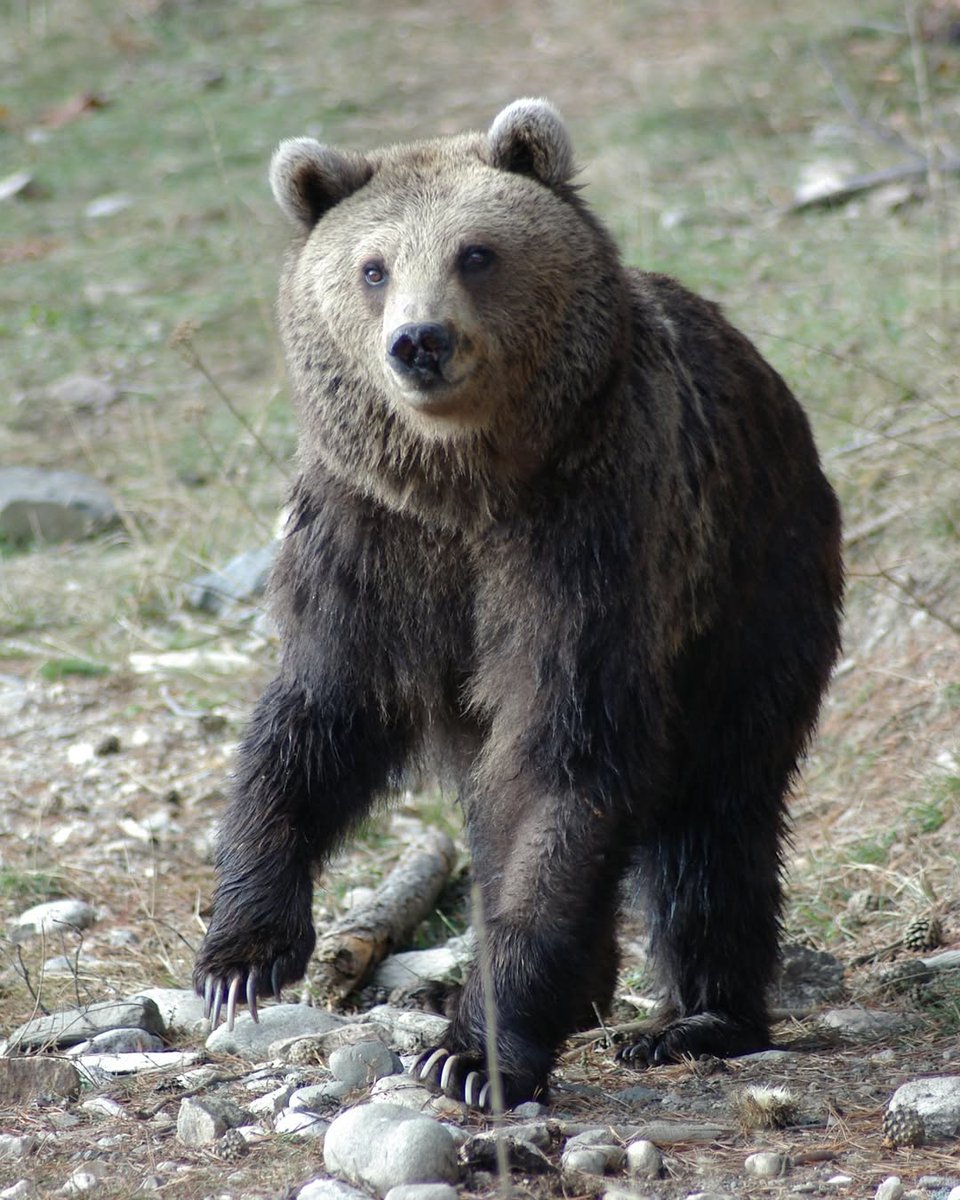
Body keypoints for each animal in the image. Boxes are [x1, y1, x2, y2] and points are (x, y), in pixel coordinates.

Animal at [194, 98, 843, 1109]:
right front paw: (241, 957)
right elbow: (317, 717)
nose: (420, 341)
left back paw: (696, 1018)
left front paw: (472, 1050)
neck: (465, 488)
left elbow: (564, 757)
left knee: (717, 820)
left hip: (754, 593)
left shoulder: (587, 542)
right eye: (373, 267)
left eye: (476, 252)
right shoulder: (370, 545)